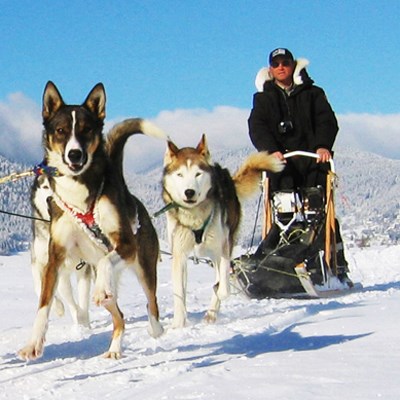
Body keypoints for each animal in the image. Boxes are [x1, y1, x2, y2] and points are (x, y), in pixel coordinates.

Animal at [18, 80, 166, 360]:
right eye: (61, 130)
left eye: (86, 130)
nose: (75, 154)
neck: (80, 195)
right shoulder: (55, 258)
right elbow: (44, 303)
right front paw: (33, 342)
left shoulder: (125, 243)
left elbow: (108, 263)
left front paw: (98, 290)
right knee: (120, 317)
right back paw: (115, 347)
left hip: (143, 265)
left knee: (151, 304)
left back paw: (154, 328)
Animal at [161, 136, 282, 326]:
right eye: (179, 174)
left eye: (198, 174)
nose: (189, 192)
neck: (195, 217)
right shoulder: (179, 253)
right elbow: (179, 293)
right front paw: (178, 325)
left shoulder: (223, 247)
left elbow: (223, 287)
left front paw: (218, 292)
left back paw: (212, 312)